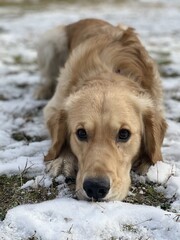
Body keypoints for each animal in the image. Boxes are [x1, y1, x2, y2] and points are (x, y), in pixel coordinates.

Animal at [36, 18, 167, 201]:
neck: (111, 71)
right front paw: (63, 160)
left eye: (124, 134)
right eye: (81, 133)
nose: (95, 187)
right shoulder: (54, 106)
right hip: (50, 40)